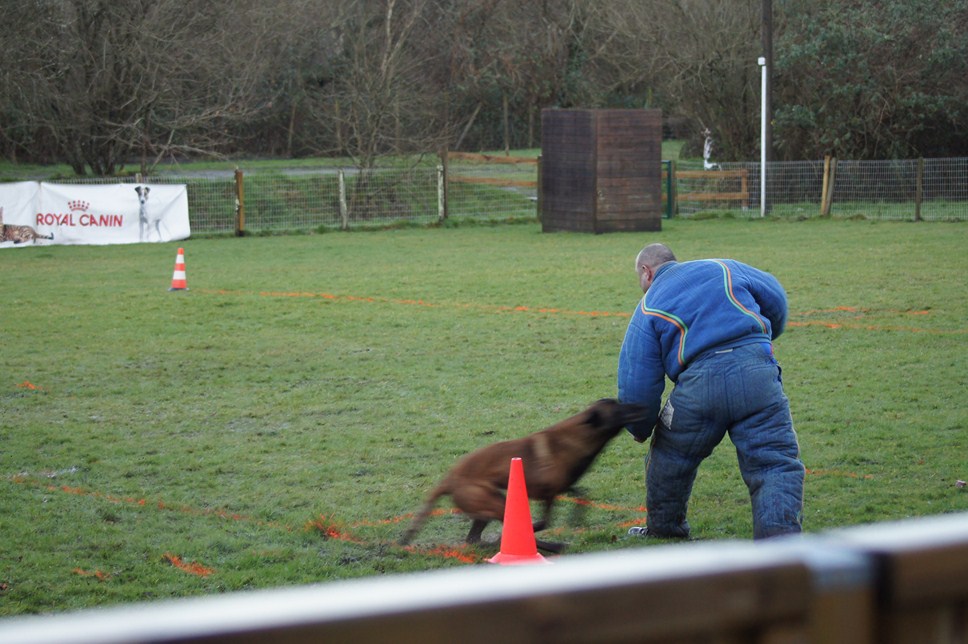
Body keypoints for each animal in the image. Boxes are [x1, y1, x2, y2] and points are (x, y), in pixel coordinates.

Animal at [400, 400, 652, 552]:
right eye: (618, 408)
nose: (643, 406)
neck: (580, 436)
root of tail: (450, 479)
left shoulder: (561, 486)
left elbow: (582, 492)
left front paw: (576, 517)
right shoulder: (546, 493)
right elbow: (543, 521)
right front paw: (539, 529)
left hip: (489, 503)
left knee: (473, 539)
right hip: (497, 501)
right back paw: (550, 546)